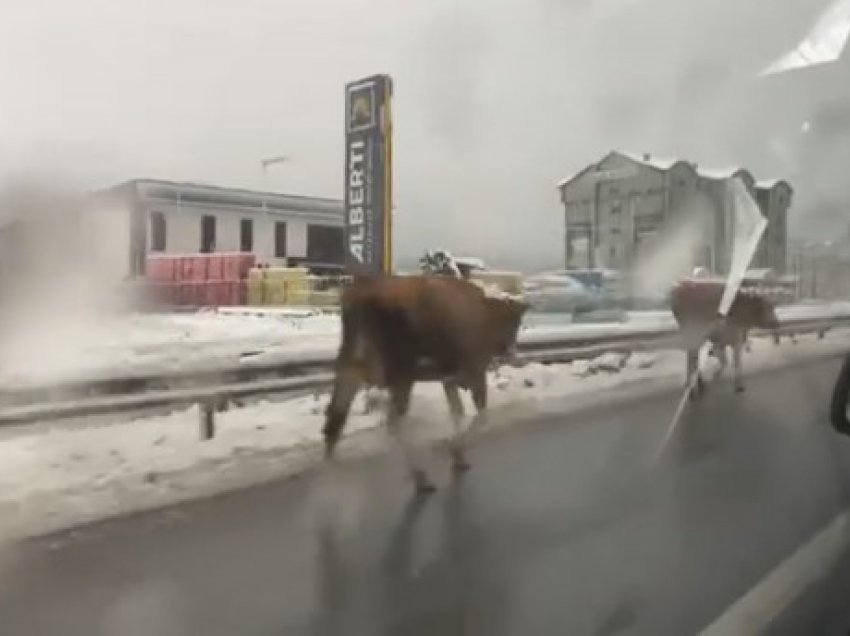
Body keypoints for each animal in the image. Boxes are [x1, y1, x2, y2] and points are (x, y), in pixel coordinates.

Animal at [322, 274, 528, 492]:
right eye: (515, 324)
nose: (512, 352)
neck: (488, 314)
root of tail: (359, 295)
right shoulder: (474, 371)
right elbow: (481, 416)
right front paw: (455, 451)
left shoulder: (449, 378)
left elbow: (458, 411)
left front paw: (459, 457)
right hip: (402, 373)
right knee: (392, 422)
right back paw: (421, 477)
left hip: (349, 368)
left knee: (334, 421)